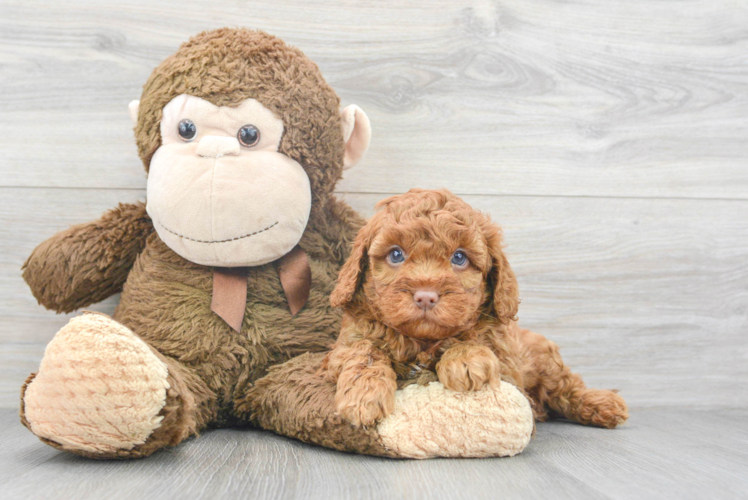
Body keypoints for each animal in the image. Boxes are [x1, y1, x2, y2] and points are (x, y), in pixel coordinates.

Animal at [322, 189, 632, 428]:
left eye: (459, 258)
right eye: (396, 254)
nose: (425, 297)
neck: (423, 342)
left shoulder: (508, 369)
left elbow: (474, 340)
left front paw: (466, 360)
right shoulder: (345, 344)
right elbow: (363, 351)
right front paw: (364, 395)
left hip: (545, 360)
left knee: (567, 387)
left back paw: (603, 403)